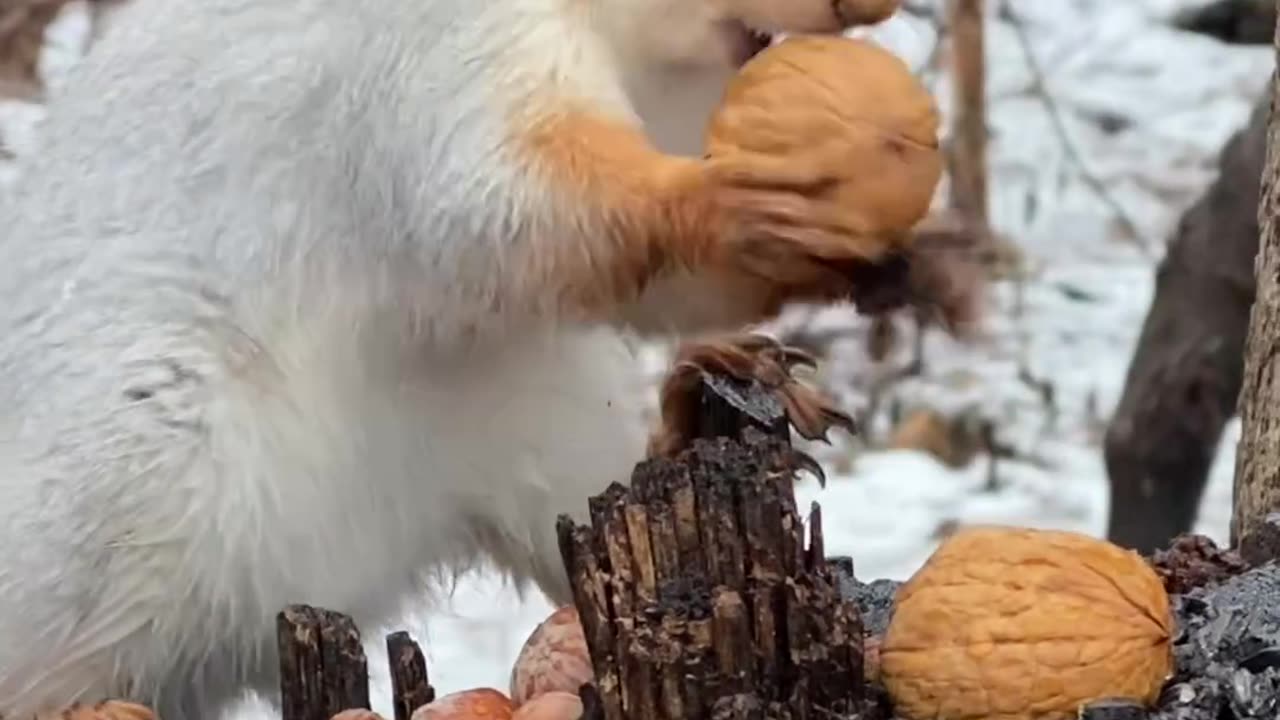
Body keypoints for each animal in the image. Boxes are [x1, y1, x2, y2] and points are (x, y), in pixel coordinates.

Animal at [0, 0, 911, 712]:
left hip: (539, 408)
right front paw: (743, 205)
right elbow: (498, 196)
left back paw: (693, 406)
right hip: (143, 482)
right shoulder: (432, 58)